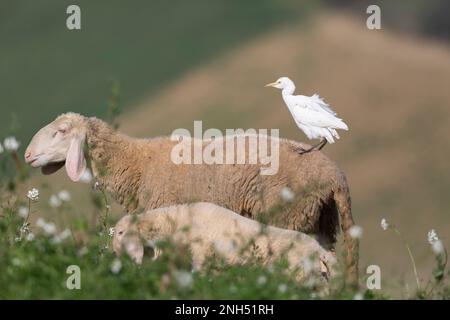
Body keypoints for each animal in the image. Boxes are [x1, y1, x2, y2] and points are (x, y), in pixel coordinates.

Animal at [24, 113, 360, 288]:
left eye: (62, 131)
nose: (27, 155)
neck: (134, 162)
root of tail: (336, 176)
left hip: (290, 215)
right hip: (321, 219)